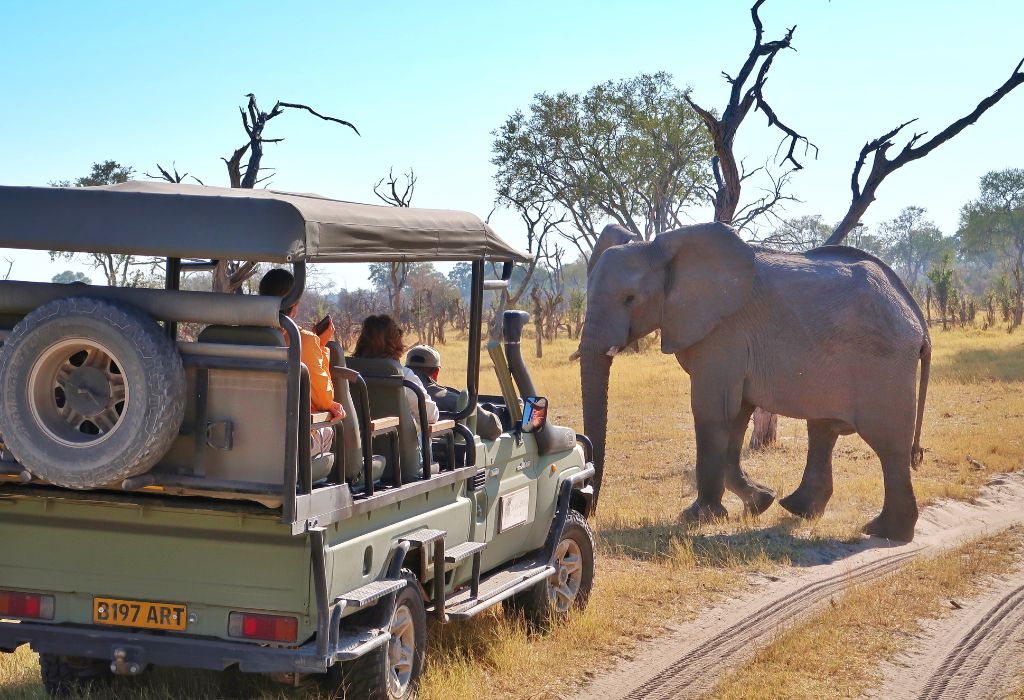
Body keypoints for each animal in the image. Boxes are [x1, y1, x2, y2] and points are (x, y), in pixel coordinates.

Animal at [581, 223, 933, 540]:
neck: (658, 249)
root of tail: (918, 320)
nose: (589, 510)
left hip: (883, 365)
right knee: (823, 430)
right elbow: (736, 417)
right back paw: (799, 509)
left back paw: (884, 532)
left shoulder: (723, 333)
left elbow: (712, 412)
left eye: (630, 298)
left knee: (888, 445)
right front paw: (759, 502)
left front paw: (697, 518)